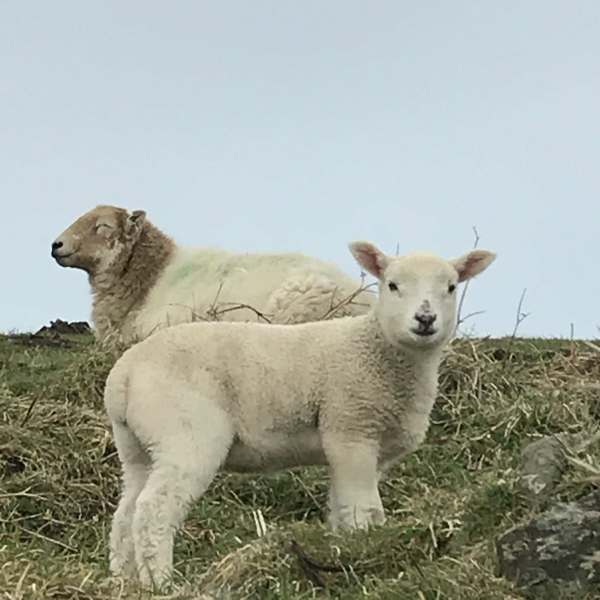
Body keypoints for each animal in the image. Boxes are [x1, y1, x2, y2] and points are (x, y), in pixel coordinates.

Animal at [104, 238, 496, 584]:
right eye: (393, 285)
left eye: (451, 287)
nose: (425, 319)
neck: (379, 350)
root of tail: (123, 376)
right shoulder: (350, 429)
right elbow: (364, 507)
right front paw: (364, 544)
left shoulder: (363, 448)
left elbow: (342, 507)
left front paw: (343, 547)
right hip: (185, 432)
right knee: (153, 510)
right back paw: (161, 581)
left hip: (137, 447)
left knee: (125, 515)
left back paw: (126, 580)